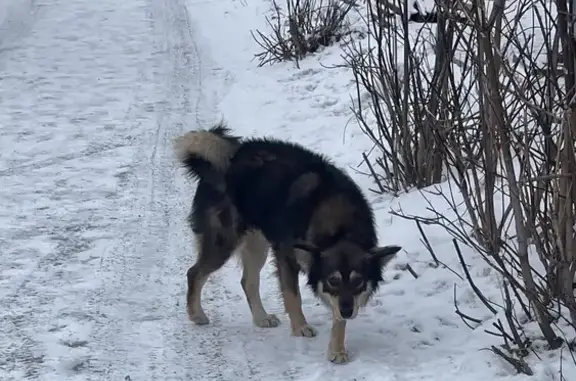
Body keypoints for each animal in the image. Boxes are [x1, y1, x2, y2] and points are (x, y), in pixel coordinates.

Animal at [173, 123, 402, 364]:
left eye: (359, 281)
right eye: (333, 280)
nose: (349, 312)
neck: (341, 227)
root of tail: (225, 158)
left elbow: (337, 315)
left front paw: (337, 349)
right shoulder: (287, 256)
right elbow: (293, 296)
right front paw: (300, 327)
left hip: (257, 245)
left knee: (247, 281)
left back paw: (261, 318)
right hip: (224, 241)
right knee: (194, 273)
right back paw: (196, 314)